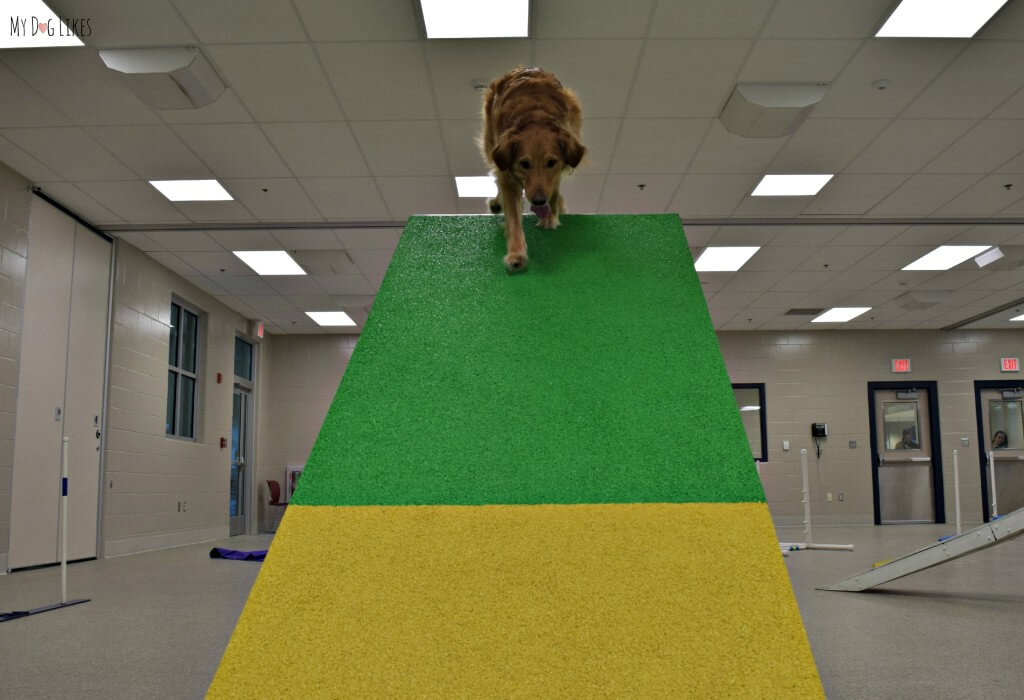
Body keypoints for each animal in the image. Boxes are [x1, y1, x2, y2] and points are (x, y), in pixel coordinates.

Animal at [479, 67, 585, 272]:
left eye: (551, 162)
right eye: (524, 164)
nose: (538, 201)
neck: (535, 116)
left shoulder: (557, 171)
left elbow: (554, 191)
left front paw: (550, 216)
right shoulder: (507, 174)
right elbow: (513, 217)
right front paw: (516, 254)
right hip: (490, 144)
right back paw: (496, 202)